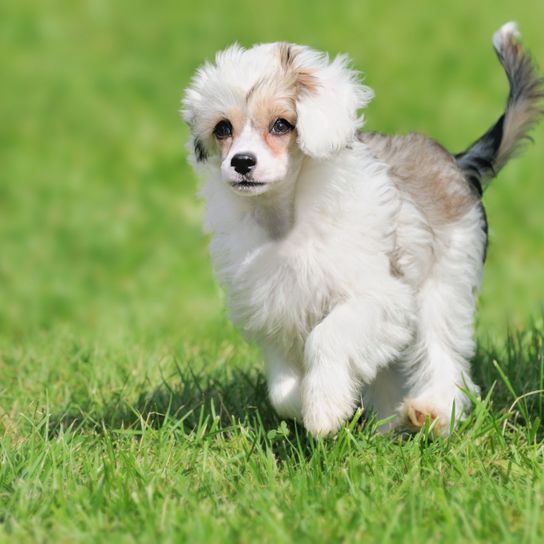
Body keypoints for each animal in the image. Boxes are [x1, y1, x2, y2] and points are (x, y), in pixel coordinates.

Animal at [181, 23, 540, 436]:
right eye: (223, 128)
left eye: (281, 124)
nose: (241, 162)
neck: (284, 219)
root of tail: (456, 162)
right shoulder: (273, 312)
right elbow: (282, 389)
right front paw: (310, 399)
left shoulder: (380, 297)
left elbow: (326, 338)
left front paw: (323, 408)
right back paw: (386, 423)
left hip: (444, 284)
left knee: (443, 354)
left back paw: (432, 411)